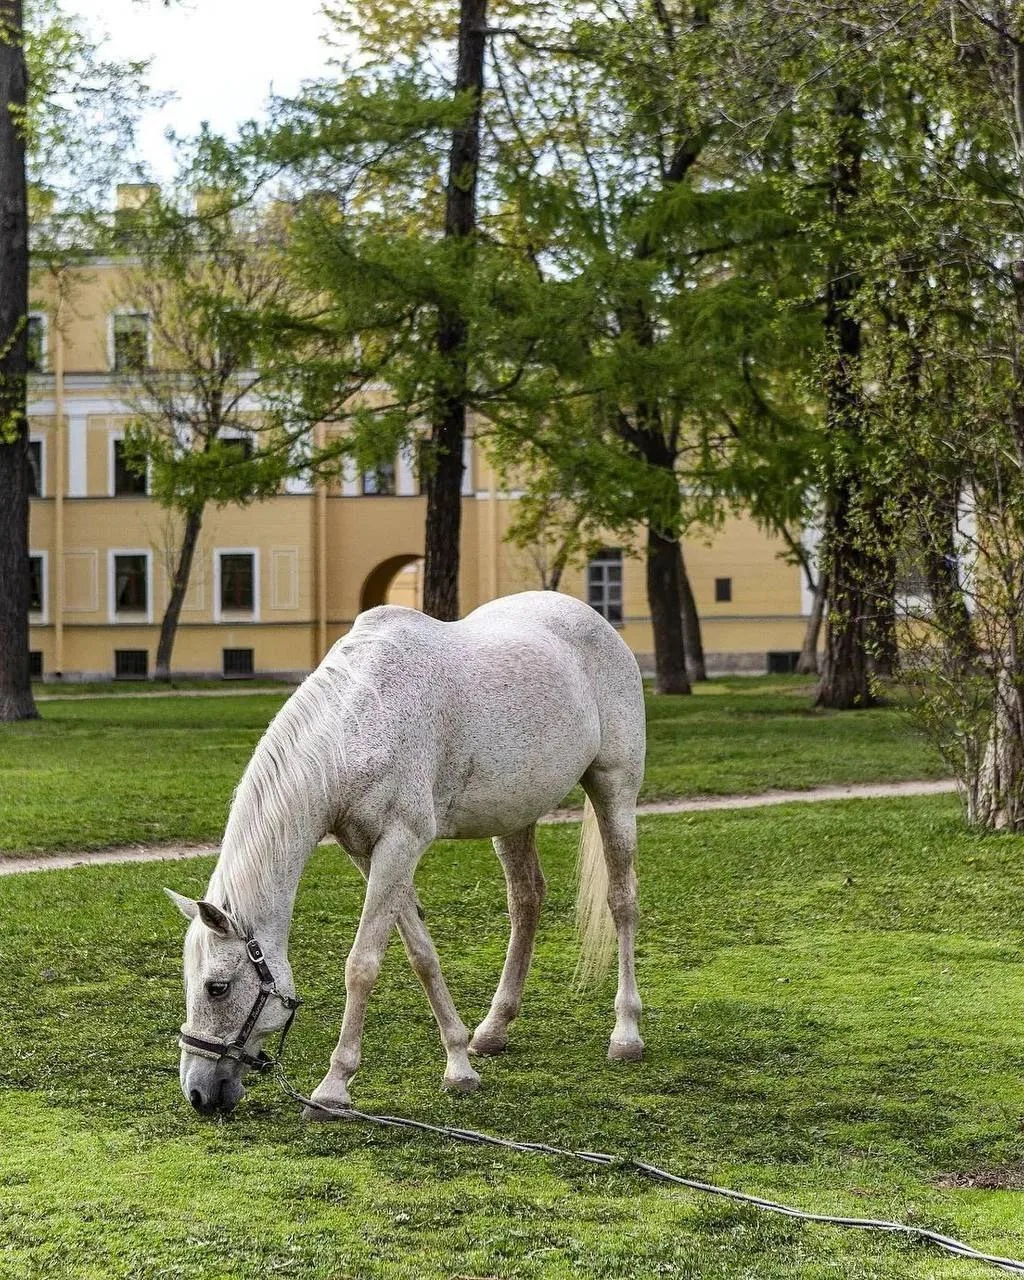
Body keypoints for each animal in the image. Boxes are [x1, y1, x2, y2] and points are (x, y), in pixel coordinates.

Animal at [165, 590, 647, 1118]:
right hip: (514, 816)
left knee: (622, 901)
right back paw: (492, 1030)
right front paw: (459, 1062)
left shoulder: (400, 843)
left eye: (217, 987)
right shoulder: (367, 852)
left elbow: (363, 964)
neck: (357, 723)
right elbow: (421, 953)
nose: (198, 1092)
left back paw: (626, 1034)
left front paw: (332, 1088)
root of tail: (591, 618)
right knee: (526, 902)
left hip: (615, 788)